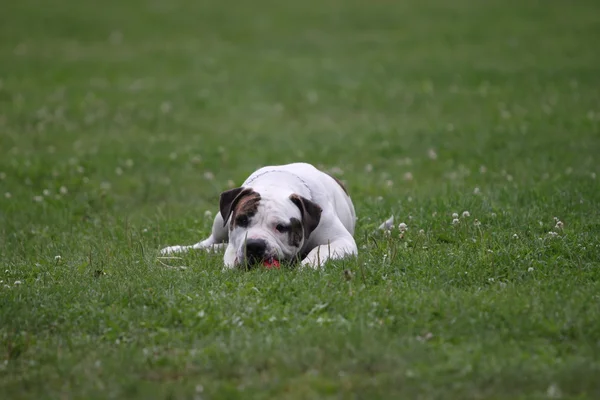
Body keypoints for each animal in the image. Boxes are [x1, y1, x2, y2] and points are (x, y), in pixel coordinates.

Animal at [158, 162, 356, 268]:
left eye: (281, 227)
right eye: (242, 220)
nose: (254, 245)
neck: (277, 184)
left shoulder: (342, 241)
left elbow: (321, 250)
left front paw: (309, 265)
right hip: (219, 221)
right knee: (208, 243)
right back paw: (177, 250)